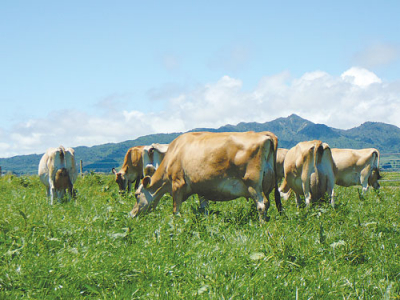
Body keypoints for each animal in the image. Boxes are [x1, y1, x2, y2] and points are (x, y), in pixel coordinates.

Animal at [131, 131, 282, 220]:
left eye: (137, 195)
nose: (131, 214)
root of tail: (264, 134)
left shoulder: (177, 184)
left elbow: (176, 211)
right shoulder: (202, 189)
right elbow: (204, 209)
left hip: (253, 184)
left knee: (261, 205)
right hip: (267, 185)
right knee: (267, 204)